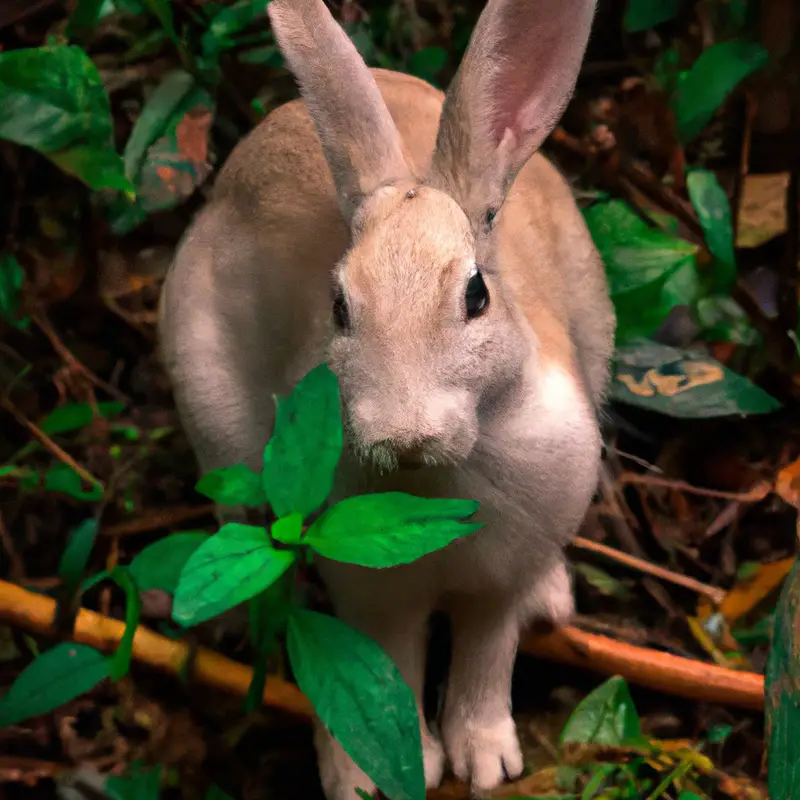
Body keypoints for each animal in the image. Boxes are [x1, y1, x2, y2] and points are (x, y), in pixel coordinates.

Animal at [158, 0, 620, 796]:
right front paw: (376, 772)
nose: (404, 433)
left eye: (476, 295)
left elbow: (486, 658)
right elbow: (392, 664)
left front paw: (486, 760)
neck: (441, 478)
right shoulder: (374, 596)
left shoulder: (499, 584)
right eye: (340, 308)